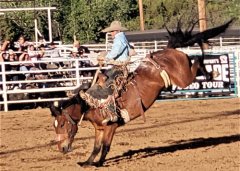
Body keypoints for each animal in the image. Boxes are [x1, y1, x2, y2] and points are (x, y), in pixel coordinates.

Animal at [50, 48, 201, 167]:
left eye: (62, 124)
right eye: (54, 126)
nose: (61, 148)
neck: (90, 105)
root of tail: (173, 51)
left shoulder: (111, 126)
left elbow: (105, 146)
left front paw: (99, 163)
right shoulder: (99, 128)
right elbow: (96, 147)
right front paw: (87, 163)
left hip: (183, 79)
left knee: (194, 67)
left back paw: (202, 59)